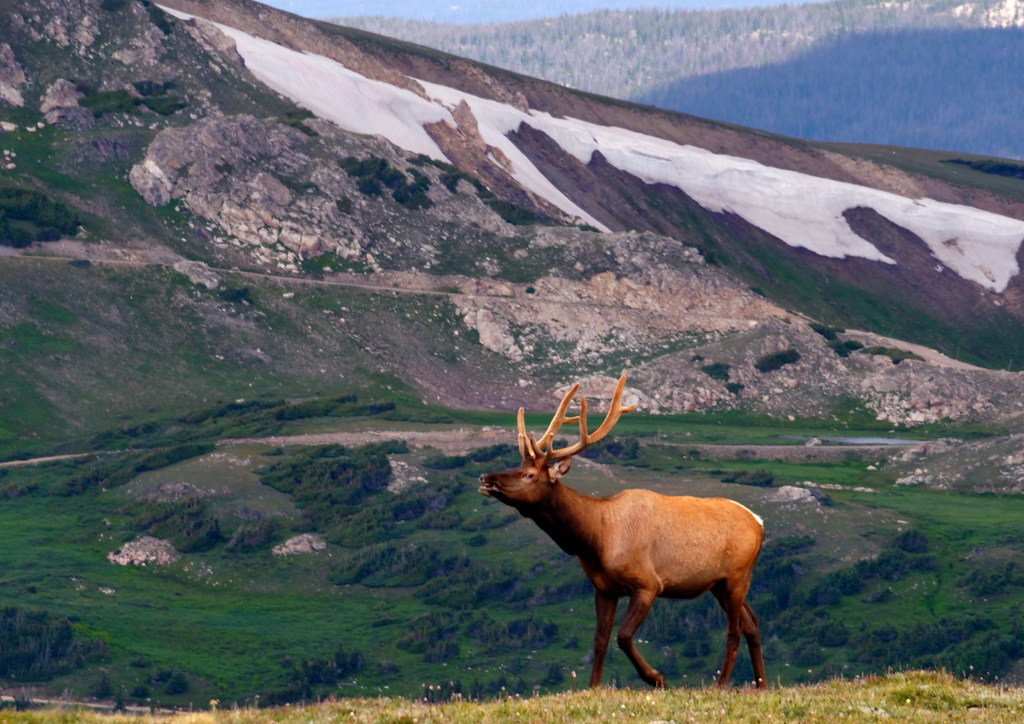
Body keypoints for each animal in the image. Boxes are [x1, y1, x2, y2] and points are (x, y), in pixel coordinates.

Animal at [478, 375, 766, 690]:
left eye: (528, 474)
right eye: (519, 465)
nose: (486, 478)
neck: (596, 538)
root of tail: (759, 522)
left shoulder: (648, 583)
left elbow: (623, 636)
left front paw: (657, 678)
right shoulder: (604, 588)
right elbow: (600, 641)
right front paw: (593, 688)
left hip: (737, 575)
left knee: (735, 629)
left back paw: (722, 684)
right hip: (718, 583)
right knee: (752, 623)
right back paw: (761, 684)